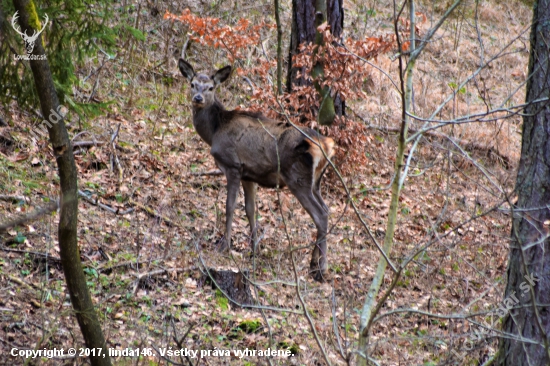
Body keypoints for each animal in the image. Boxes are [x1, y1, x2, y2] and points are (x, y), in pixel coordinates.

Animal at [181, 59, 336, 280]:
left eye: (211, 87)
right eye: (193, 84)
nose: (198, 98)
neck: (215, 130)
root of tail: (327, 145)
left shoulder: (233, 166)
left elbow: (230, 206)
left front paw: (224, 246)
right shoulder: (248, 174)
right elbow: (250, 209)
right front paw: (254, 249)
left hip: (298, 178)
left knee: (320, 215)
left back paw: (320, 269)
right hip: (316, 182)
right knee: (326, 209)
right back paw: (315, 264)